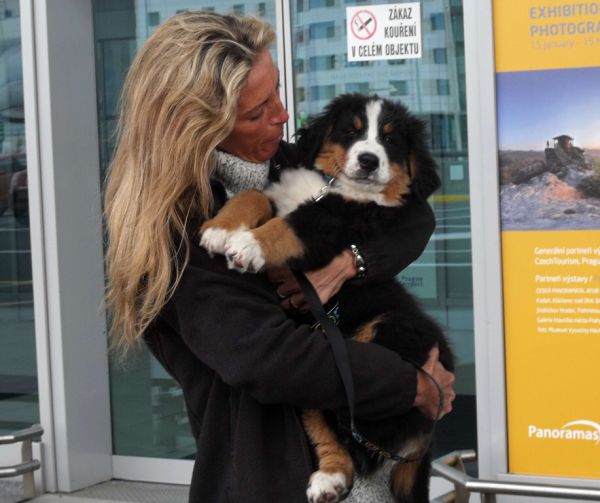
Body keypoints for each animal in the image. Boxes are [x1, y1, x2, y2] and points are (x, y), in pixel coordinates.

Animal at [199, 95, 452, 503]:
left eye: (390, 141)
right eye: (350, 131)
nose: (369, 160)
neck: (336, 189)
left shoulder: (341, 221)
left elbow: (292, 226)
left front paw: (247, 245)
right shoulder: (284, 198)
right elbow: (255, 196)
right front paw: (220, 229)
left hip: (391, 329)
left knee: (362, 425)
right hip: (314, 371)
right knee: (326, 419)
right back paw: (331, 477)